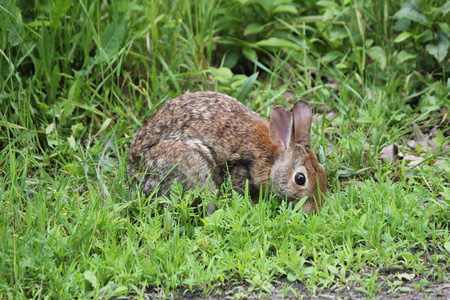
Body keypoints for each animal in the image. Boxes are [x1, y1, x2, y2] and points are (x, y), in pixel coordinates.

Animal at [128, 91, 326, 213]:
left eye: (322, 171)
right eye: (300, 179)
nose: (316, 209)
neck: (273, 161)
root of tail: (135, 172)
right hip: (192, 167)